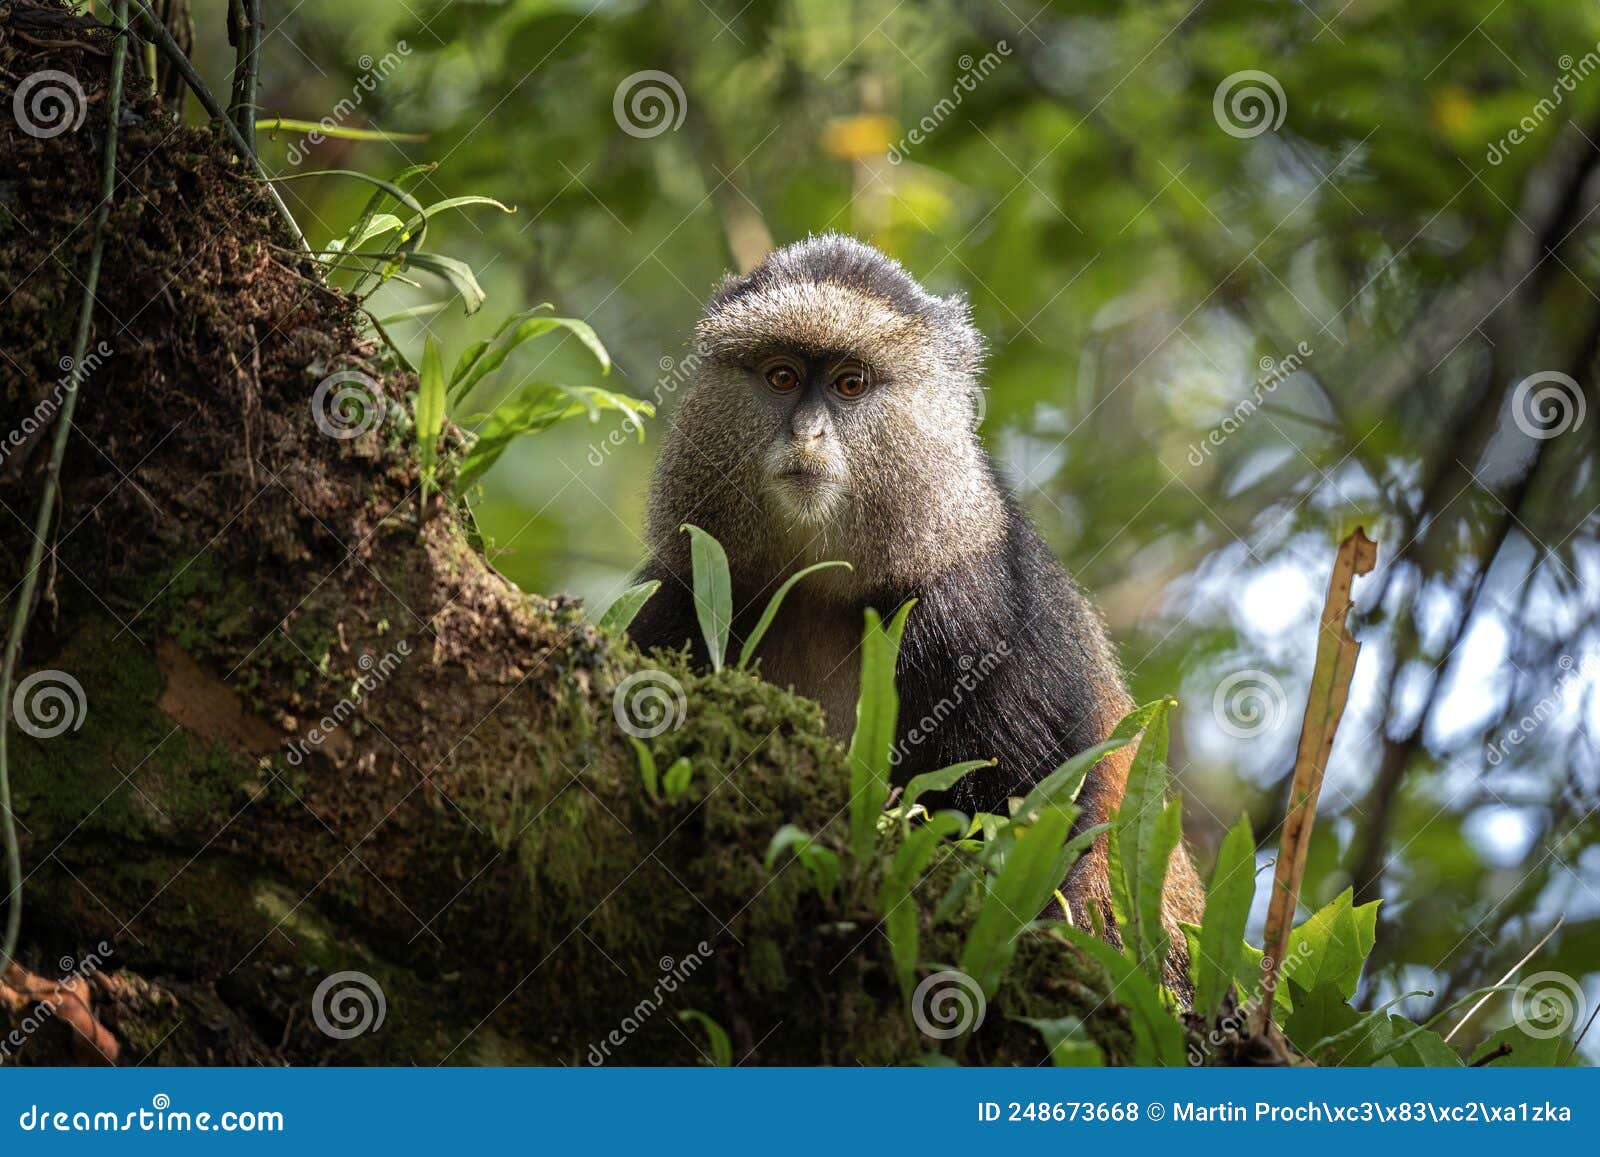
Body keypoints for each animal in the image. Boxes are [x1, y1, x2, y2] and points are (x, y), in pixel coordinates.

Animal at [624, 235, 1203, 985]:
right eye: (782, 377)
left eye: (849, 385)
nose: (807, 433)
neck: (820, 580)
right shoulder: (681, 592)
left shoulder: (978, 609)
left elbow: (1046, 807)